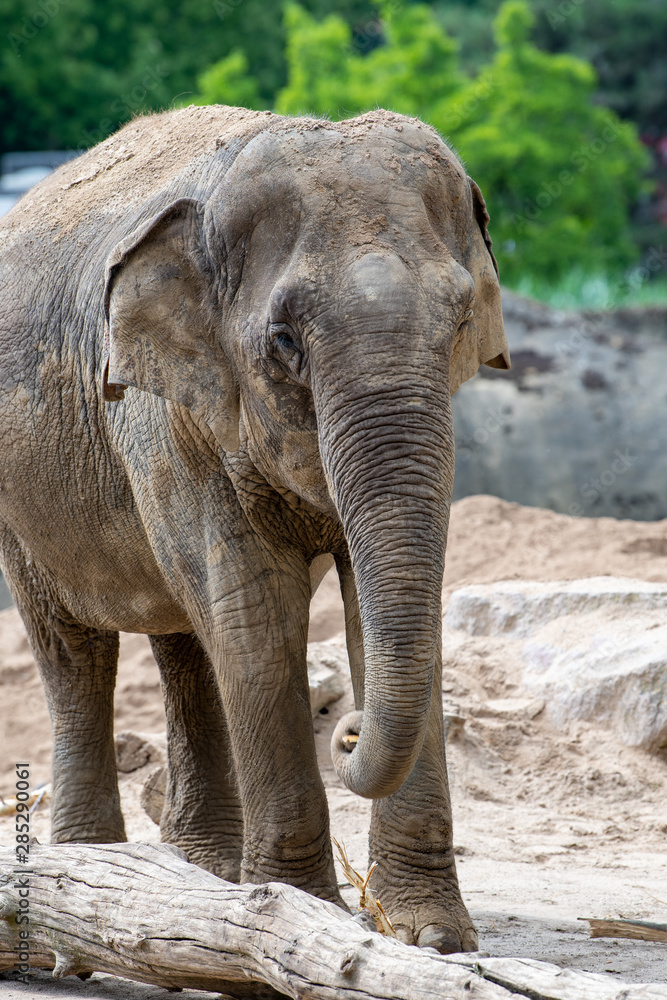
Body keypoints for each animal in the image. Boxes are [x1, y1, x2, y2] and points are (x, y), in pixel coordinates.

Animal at [0, 104, 509, 954]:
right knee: (74, 648)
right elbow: (256, 611)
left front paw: (427, 938)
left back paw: (199, 870)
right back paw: (88, 873)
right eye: (285, 343)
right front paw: (299, 909)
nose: (348, 730)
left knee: (184, 636)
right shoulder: (165, 410)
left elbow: (379, 603)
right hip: (20, 498)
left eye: (460, 321)